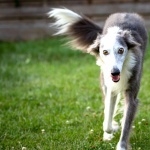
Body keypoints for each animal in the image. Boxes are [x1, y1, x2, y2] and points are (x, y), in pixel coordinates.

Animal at [48, 8, 148, 150]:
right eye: (105, 52)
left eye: (121, 50)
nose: (114, 72)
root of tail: (126, 12)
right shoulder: (109, 88)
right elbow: (107, 121)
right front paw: (113, 128)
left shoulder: (132, 94)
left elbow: (126, 124)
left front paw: (121, 145)